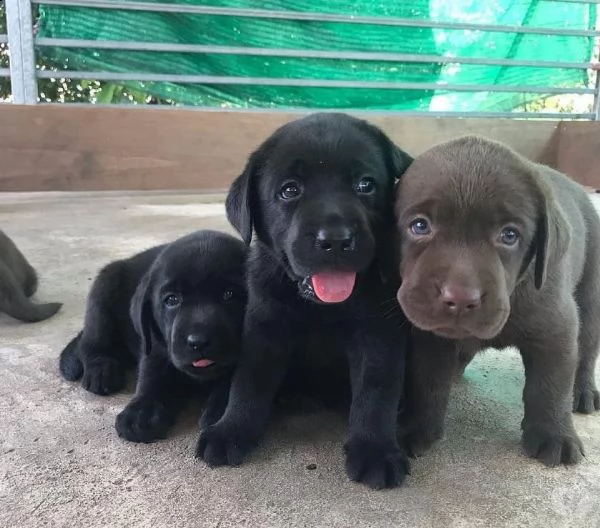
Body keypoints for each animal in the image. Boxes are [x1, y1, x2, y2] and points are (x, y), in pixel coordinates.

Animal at [59, 230, 247, 442]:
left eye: (229, 294)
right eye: (172, 300)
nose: (198, 342)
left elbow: (231, 379)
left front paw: (221, 410)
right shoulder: (154, 344)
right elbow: (151, 374)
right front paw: (141, 412)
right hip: (103, 291)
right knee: (91, 341)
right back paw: (100, 370)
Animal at [199, 112, 414, 490]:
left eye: (365, 185)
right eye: (290, 190)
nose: (336, 239)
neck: (321, 308)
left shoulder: (378, 332)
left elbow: (377, 390)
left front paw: (376, 449)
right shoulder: (264, 328)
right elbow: (248, 383)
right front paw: (231, 430)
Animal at [394, 135, 600, 466]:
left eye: (509, 235)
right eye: (420, 226)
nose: (460, 299)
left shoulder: (556, 328)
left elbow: (551, 385)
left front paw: (555, 436)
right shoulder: (427, 336)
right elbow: (426, 381)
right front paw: (415, 428)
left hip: (590, 292)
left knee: (587, 350)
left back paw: (583, 392)